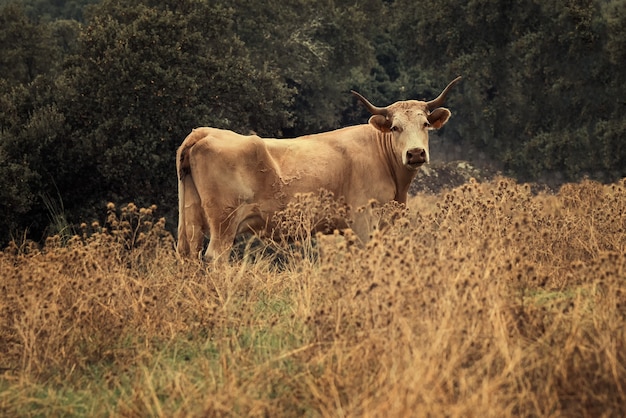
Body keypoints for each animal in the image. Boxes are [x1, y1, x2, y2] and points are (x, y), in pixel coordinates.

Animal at [176, 74, 458, 258]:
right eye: (395, 127)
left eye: (425, 124)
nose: (415, 153)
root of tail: (204, 131)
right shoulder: (364, 222)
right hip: (224, 223)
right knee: (215, 257)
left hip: (190, 218)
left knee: (188, 253)